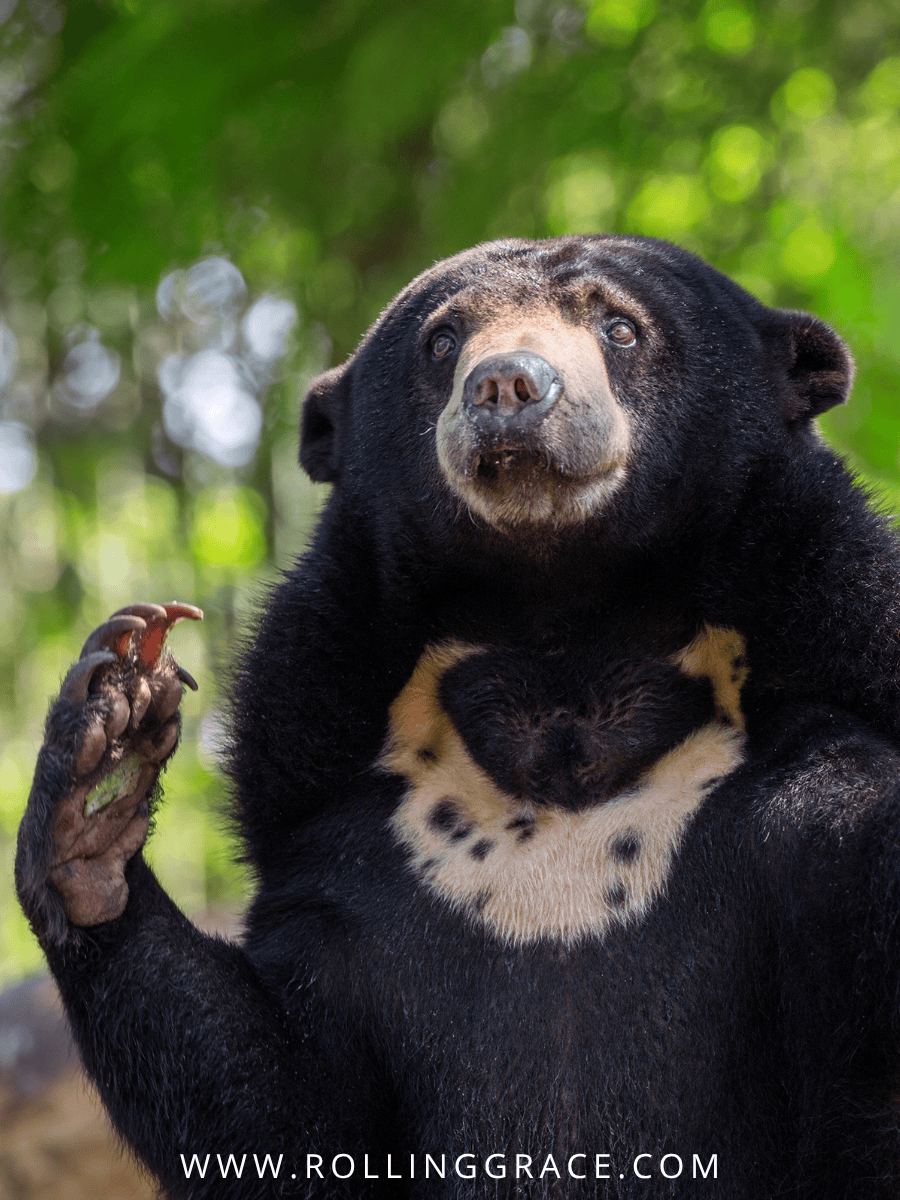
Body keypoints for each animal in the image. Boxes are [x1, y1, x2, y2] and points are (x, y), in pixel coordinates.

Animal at [14, 234, 900, 1199]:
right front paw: (109, 739)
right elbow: (282, 1108)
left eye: (620, 327)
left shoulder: (819, 763)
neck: (563, 650)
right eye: (443, 342)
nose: (508, 385)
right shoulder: (348, 851)